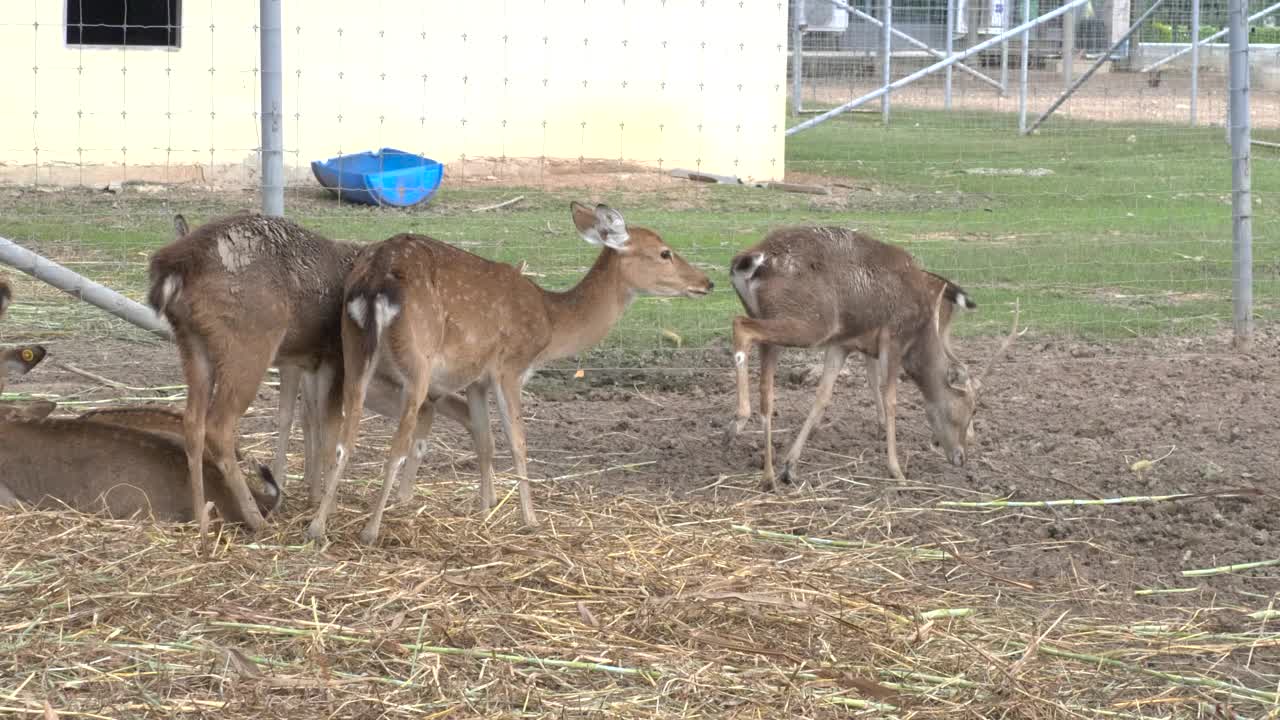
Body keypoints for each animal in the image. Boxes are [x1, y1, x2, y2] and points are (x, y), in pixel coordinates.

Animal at [151, 211, 504, 548]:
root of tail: (174, 269)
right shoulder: (333, 359)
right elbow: (327, 428)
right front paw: (319, 502)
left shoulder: (311, 359)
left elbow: (310, 422)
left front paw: (312, 496)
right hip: (251, 342)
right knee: (219, 425)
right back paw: (256, 519)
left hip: (194, 345)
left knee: (192, 422)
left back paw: (202, 520)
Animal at [304, 198, 716, 540]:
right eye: (665, 253)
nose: (707, 282)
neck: (551, 323)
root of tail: (375, 281)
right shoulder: (510, 367)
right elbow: (518, 442)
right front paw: (529, 519)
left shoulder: (476, 378)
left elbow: (485, 441)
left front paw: (486, 509)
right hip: (416, 362)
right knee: (397, 442)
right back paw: (370, 529)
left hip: (354, 350)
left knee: (344, 438)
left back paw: (318, 526)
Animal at [732, 226, 1018, 489]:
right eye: (972, 408)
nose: (961, 456)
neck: (920, 335)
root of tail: (749, 260)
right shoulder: (894, 337)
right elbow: (890, 399)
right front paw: (897, 471)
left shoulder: (842, 343)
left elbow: (822, 396)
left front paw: (790, 466)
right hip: (808, 323)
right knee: (740, 326)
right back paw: (738, 420)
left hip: (776, 322)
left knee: (766, 389)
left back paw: (768, 474)